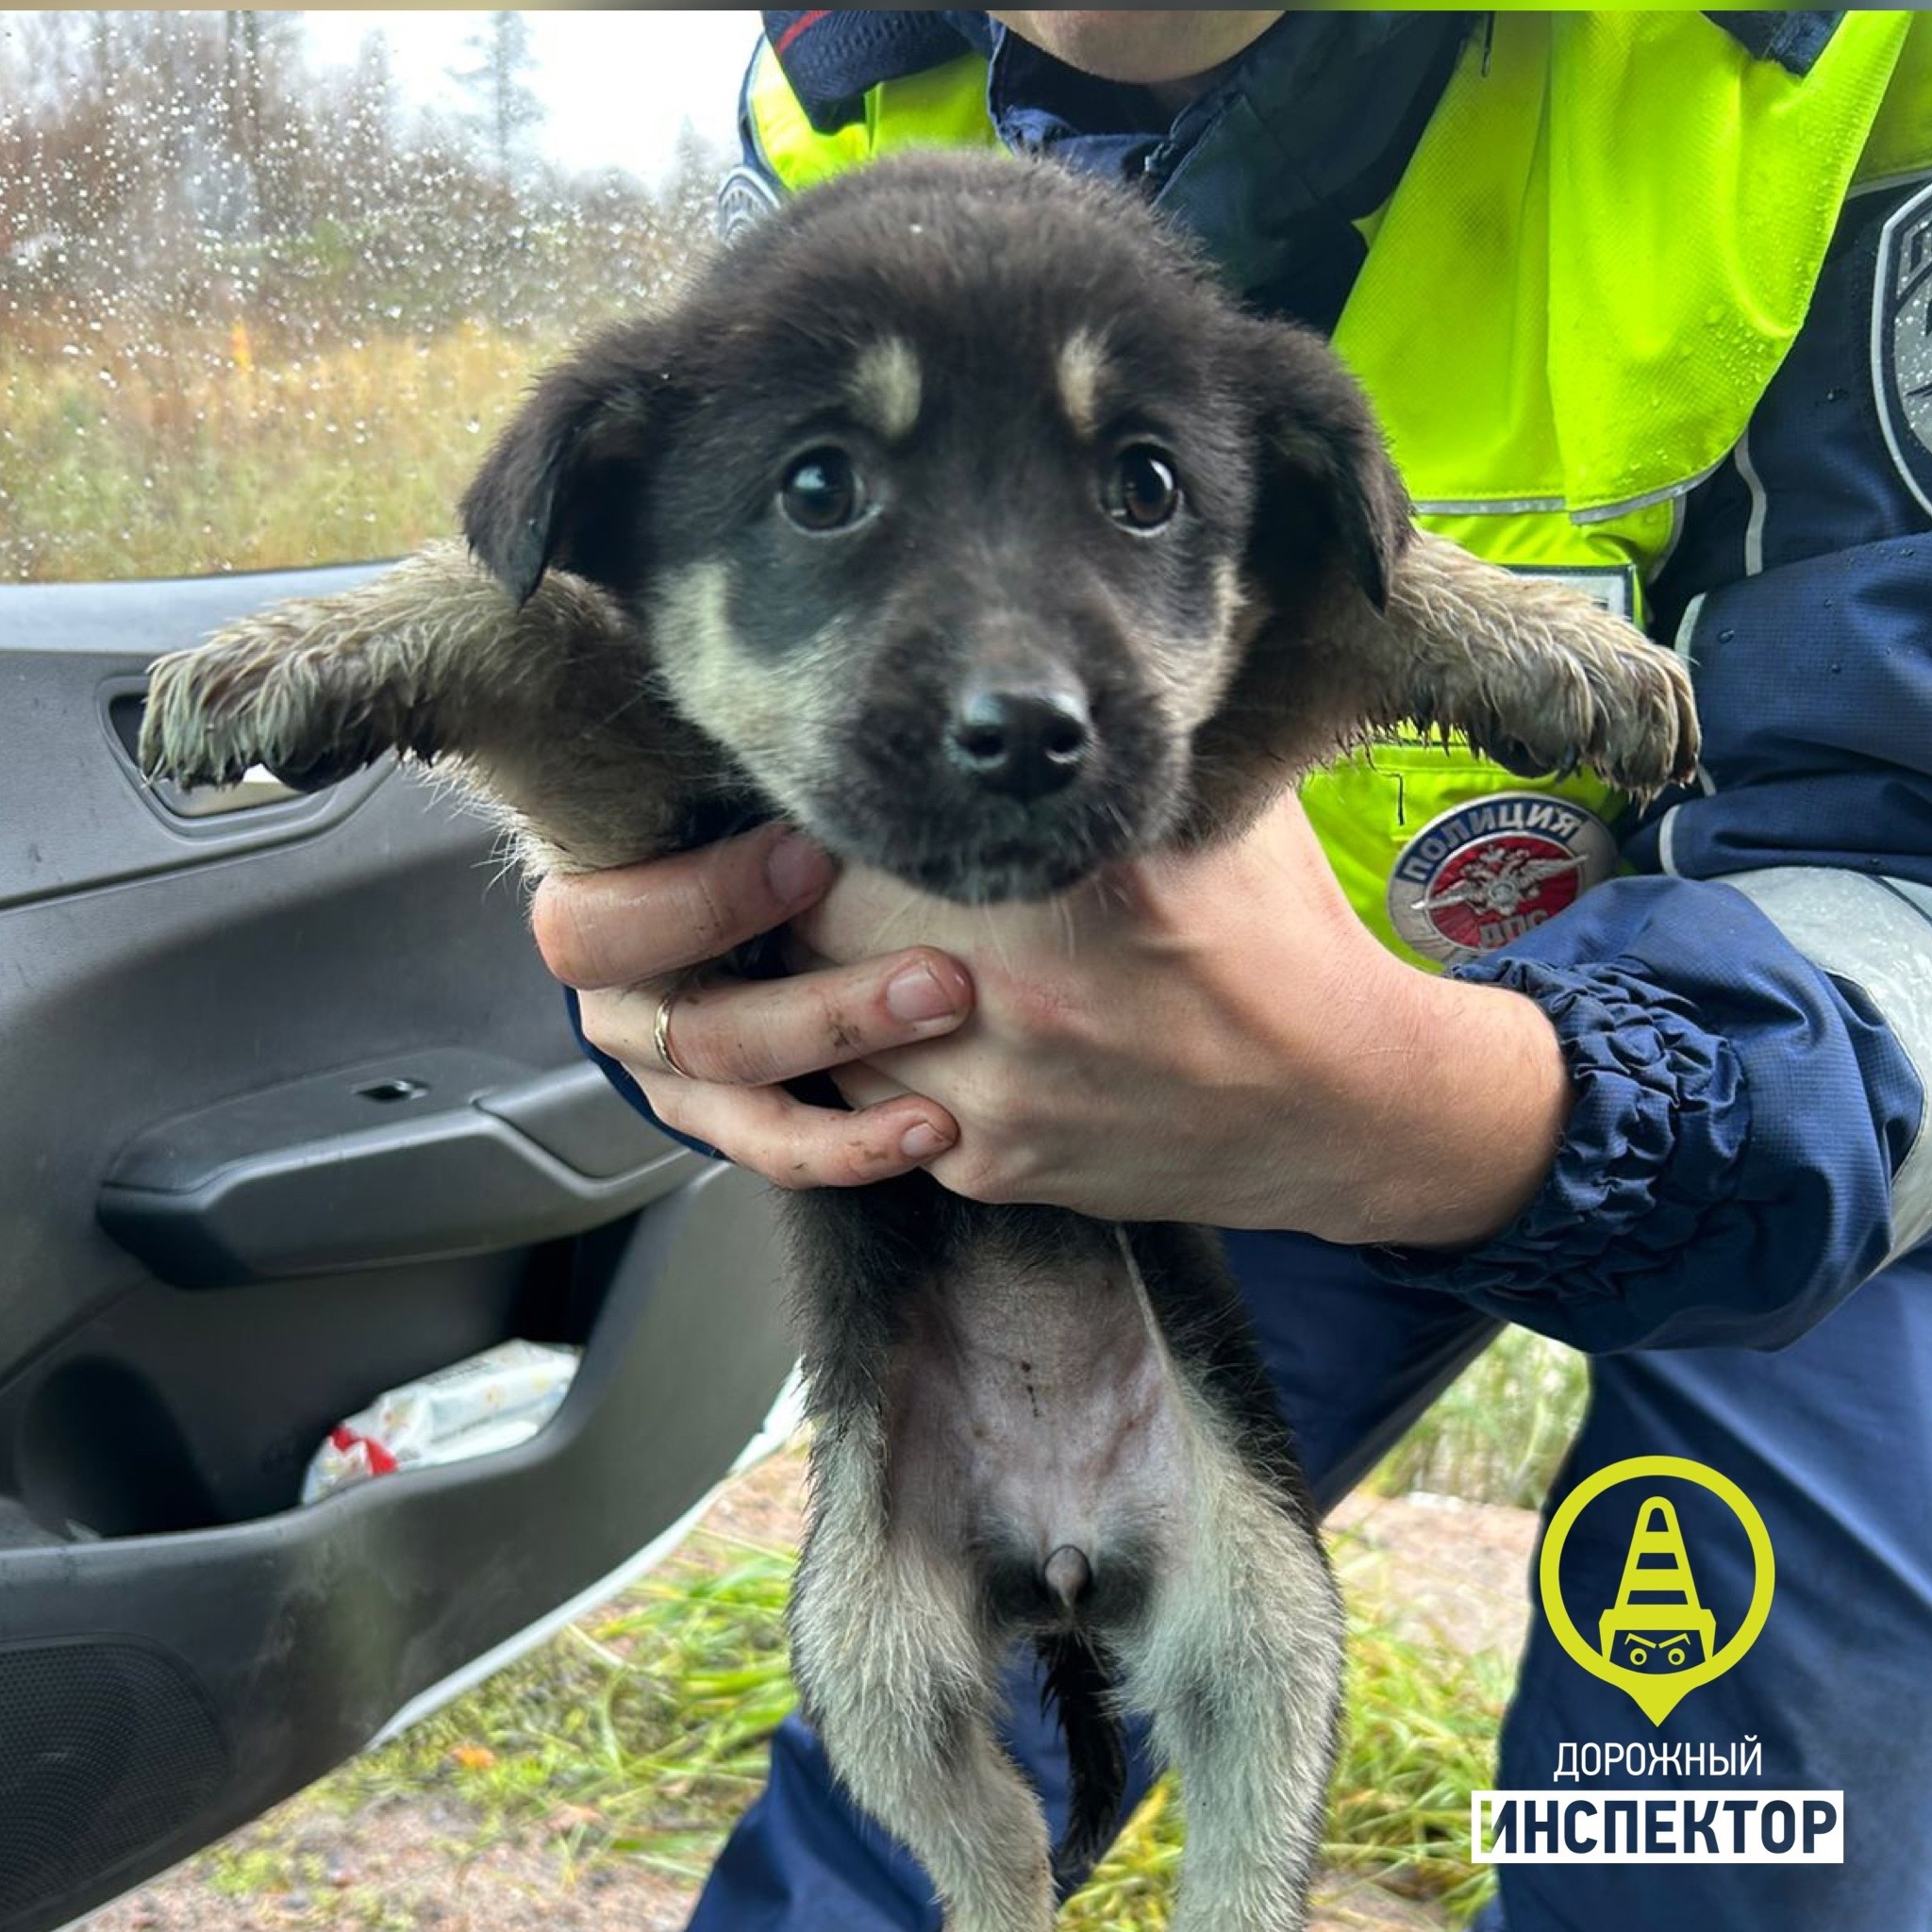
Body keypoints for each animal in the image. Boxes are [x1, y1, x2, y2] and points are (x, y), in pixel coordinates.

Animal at [142, 154, 1700, 1932]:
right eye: (818, 488)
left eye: (1146, 489)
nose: (1024, 735)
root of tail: (1065, 1560)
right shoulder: (672, 832)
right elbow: (520, 620)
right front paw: (296, 647)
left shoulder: (1194, 765)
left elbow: (1338, 598)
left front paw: (1558, 644)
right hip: (875, 1657)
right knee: (995, 1857)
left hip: (1267, 1636)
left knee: (1236, 1844)